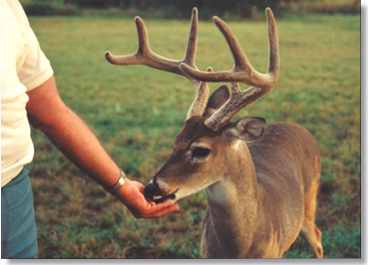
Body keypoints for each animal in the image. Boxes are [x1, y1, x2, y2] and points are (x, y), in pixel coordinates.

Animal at [105, 6, 324, 258]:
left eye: (201, 150)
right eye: (175, 142)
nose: (152, 187)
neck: (241, 246)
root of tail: (299, 128)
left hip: (310, 201)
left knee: (318, 236)